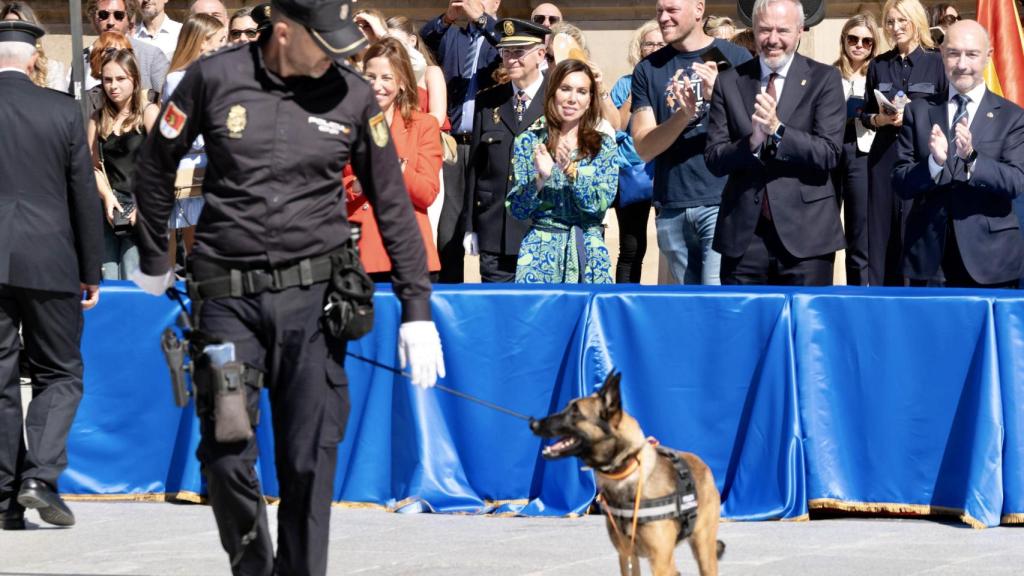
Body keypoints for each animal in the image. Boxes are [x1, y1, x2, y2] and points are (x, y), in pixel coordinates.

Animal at [532, 368, 724, 569]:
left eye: (575, 413)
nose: (533, 423)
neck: (625, 472)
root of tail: (702, 463)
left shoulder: (660, 561)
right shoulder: (626, 555)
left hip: (703, 553)